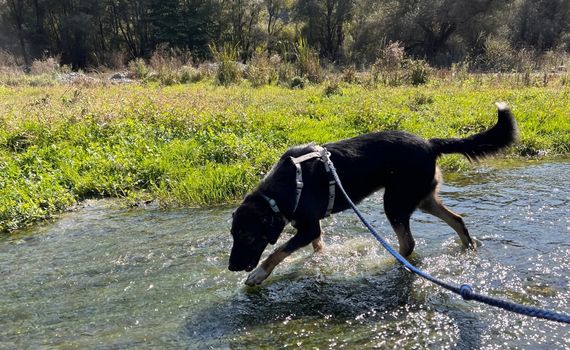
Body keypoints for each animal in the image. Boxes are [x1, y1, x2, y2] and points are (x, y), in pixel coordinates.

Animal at [226, 102, 516, 286]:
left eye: (248, 236)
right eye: (233, 235)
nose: (231, 267)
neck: (284, 187)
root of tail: (430, 143)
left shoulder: (308, 228)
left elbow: (277, 251)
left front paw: (259, 274)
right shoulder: (311, 228)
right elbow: (317, 247)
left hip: (395, 202)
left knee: (408, 244)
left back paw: (387, 264)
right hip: (422, 199)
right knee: (456, 220)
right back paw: (469, 248)